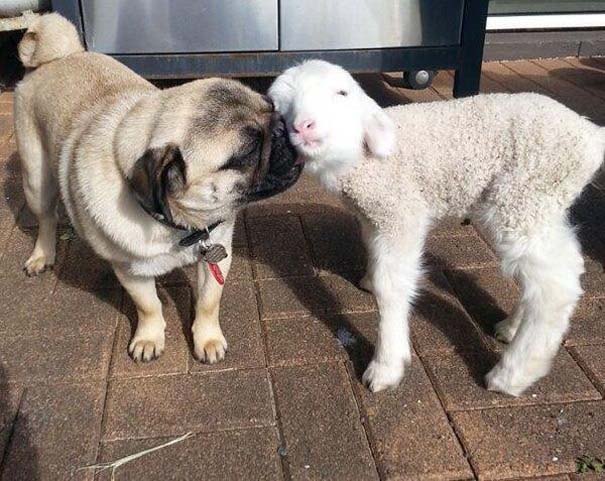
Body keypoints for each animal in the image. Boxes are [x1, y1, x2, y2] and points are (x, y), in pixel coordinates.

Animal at [15, 13, 302, 362]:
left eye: (273, 107)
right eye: (247, 151)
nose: (281, 128)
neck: (181, 226)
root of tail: (59, 56)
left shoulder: (217, 254)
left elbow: (209, 303)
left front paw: (207, 339)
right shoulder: (130, 272)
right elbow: (148, 306)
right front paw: (149, 338)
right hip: (36, 178)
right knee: (46, 217)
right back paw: (42, 255)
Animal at [268, 60, 604, 396]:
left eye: (342, 93)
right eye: (281, 107)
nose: (303, 126)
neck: (360, 161)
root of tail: (591, 135)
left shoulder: (402, 213)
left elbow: (391, 287)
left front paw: (386, 365)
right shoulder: (376, 216)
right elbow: (374, 254)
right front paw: (369, 279)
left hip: (523, 196)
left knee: (556, 285)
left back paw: (511, 374)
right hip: (539, 206)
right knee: (544, 271)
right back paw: (509, 328)